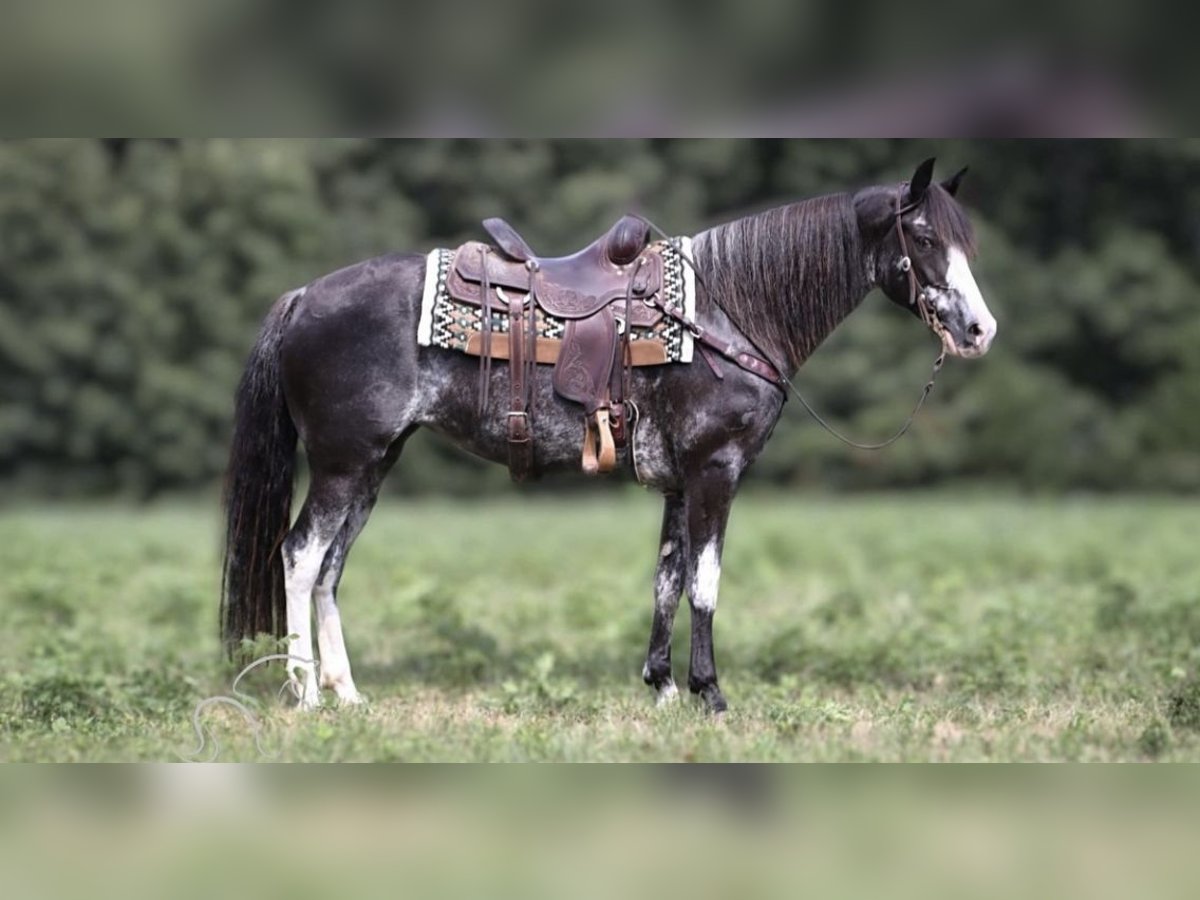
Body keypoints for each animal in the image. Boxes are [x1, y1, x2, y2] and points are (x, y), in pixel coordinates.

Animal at [220, 157, 997, 713]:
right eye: (926, 237)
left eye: (966, 240)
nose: (980, 330)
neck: (728, 314)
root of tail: (303, 297)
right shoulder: (717, 470)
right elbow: (706, 583)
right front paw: (711, 695)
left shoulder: (680, 481)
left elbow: (667, 579)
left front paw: (663, 687)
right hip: (342, 463)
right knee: (299, 555)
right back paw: (305, 693)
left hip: (374, 465)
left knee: (330, 569)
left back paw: (349, 694)